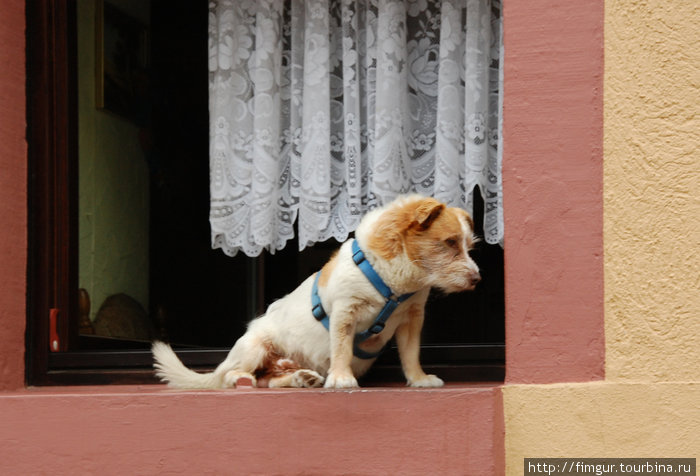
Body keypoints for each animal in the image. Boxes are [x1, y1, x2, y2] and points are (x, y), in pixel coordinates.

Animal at [152, 195, 482, 388]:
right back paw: (242, 377)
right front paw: (341, 378)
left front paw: (419, 379)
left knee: (272, 381)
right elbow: (342, 348)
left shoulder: (412, 319)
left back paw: (302, 377)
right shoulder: (346, 312)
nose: (477, 278)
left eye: (469, 246)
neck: (395, 282)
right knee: (232, 377)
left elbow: (411, 354)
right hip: (253, 347)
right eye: (449, 242)